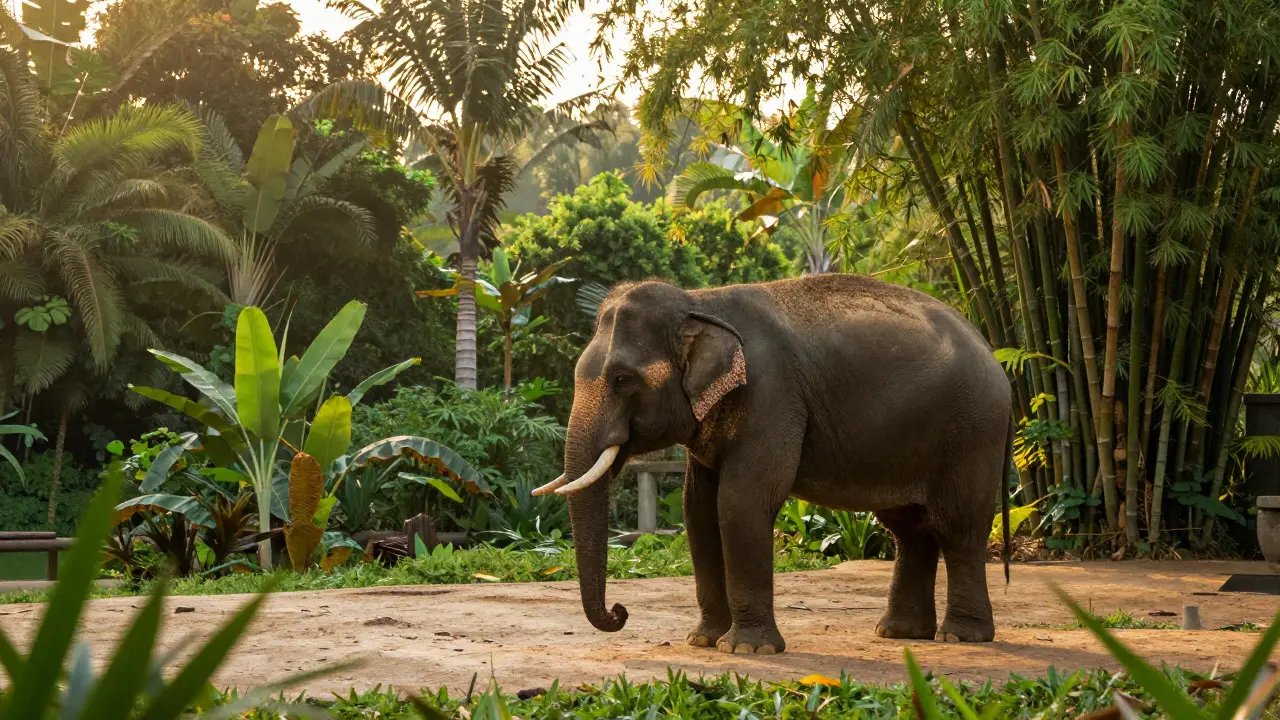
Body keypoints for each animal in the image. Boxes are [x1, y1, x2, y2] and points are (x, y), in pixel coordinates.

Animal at [533, 274, 1012, 654]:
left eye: (622, 380)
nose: (620, 611)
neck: (701, 303)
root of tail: (997, 357)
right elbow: (698, 511)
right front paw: (703, 640)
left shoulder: (771, 395)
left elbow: (740, 504)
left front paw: (745, 649)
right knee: (910, 529)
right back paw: (899, 633)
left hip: (973, 431)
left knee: (958, 526)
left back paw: (960, 637)